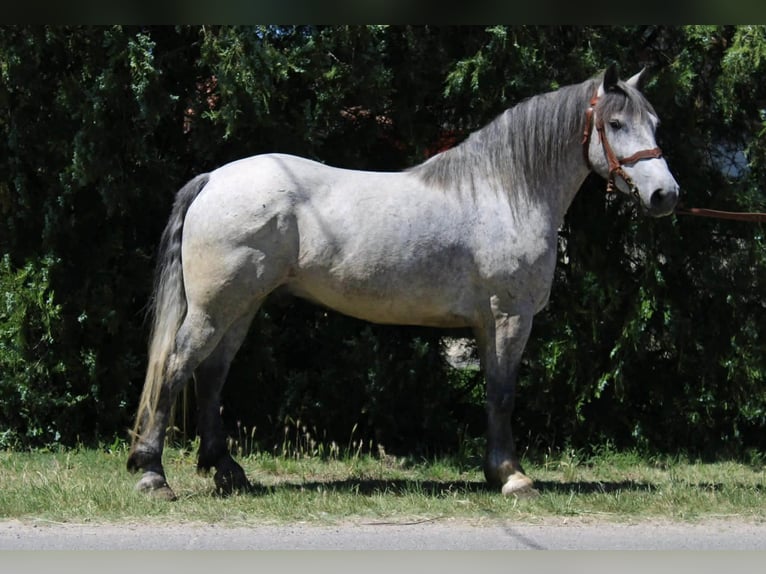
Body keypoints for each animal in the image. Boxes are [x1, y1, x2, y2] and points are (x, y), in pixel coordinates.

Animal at [127, 64, 679, 500]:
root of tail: (214, 180)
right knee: (177, 367)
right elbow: (503, 394)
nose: (665, 195)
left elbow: (493, 393)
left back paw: (226, 471)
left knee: (211, 374)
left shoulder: (487, 324)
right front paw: (513, 477)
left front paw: (495, 471)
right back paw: (153, 475)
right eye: (615, 123)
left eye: (655, 123)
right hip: (216, 306)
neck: (506, 192)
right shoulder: (509, 316)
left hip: (240, 306)